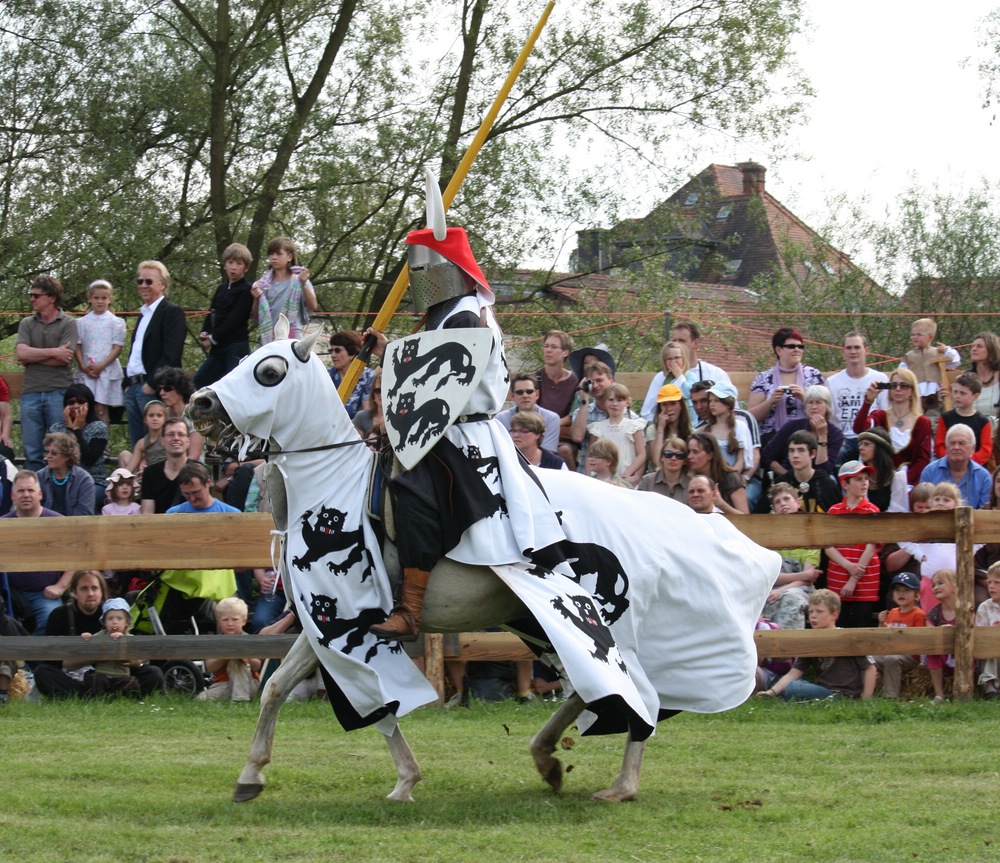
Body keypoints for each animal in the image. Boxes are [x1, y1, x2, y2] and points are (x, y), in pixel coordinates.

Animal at [189, 320, 780, 808]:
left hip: (604, 622)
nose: (199, 402)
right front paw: (253, 775)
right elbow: (283, 691)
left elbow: (368, 697)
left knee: (637, 694)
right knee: (588, 687)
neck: (329, 486)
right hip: (535, 618)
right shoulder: (324, 626)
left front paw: (402, 780)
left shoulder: (348, 619)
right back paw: (547, 758)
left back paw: (621, 784)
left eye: (268, 372)